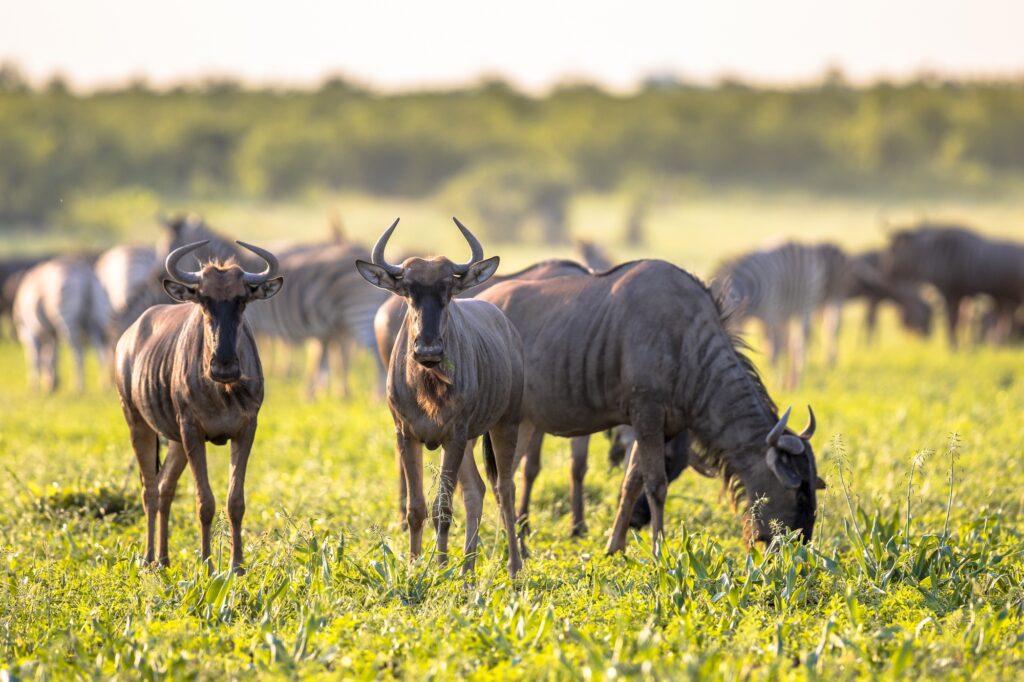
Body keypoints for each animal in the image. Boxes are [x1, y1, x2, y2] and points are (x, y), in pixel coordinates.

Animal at [13, 256, 111, 393]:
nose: (50, 387)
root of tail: (85, 273)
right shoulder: (51, 335)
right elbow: (53, 357)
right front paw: (51, 384)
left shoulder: (31, 332)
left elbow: (35, 359)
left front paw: (34, 387)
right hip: (95, 320)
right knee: (101, 351)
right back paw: (105, 385)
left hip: (66, 317)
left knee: (78, 351)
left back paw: (78, 387)